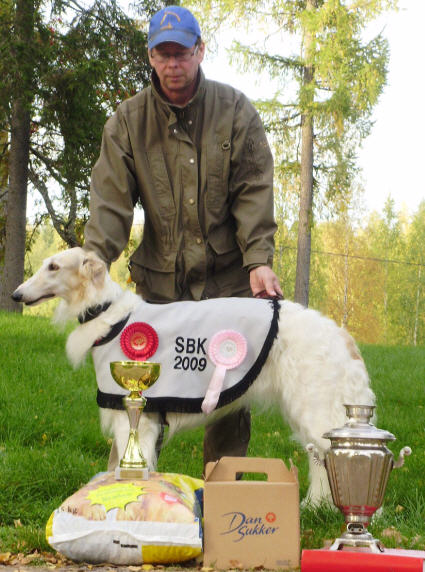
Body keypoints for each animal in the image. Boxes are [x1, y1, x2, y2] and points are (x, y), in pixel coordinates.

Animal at [10, 246, 374, 500]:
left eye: (54, 266)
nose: (16, 294)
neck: (110, 315)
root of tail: (341, 336)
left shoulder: (136, 416)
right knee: (319, 460)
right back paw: (315, 507)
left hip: (317, 408)